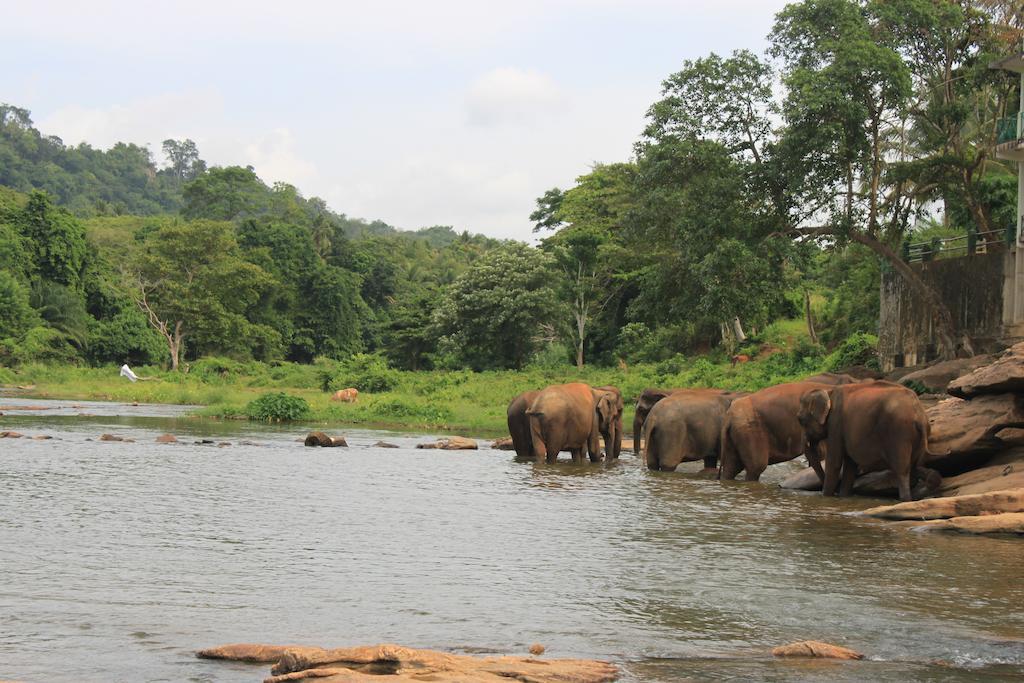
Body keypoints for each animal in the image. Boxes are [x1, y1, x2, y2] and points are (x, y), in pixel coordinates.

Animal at [798, 378, 942, 501]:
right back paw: (931, 479)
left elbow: (834, 463)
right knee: (914, 465)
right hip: (917, 436)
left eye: (801, 420)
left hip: (899, 433)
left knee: (902, 470)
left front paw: (827, 497)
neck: (829, 392)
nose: (833, 493)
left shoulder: (836, 423)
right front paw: (844, 496)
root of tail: (919, 414)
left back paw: (905, 499)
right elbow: (850, 464)